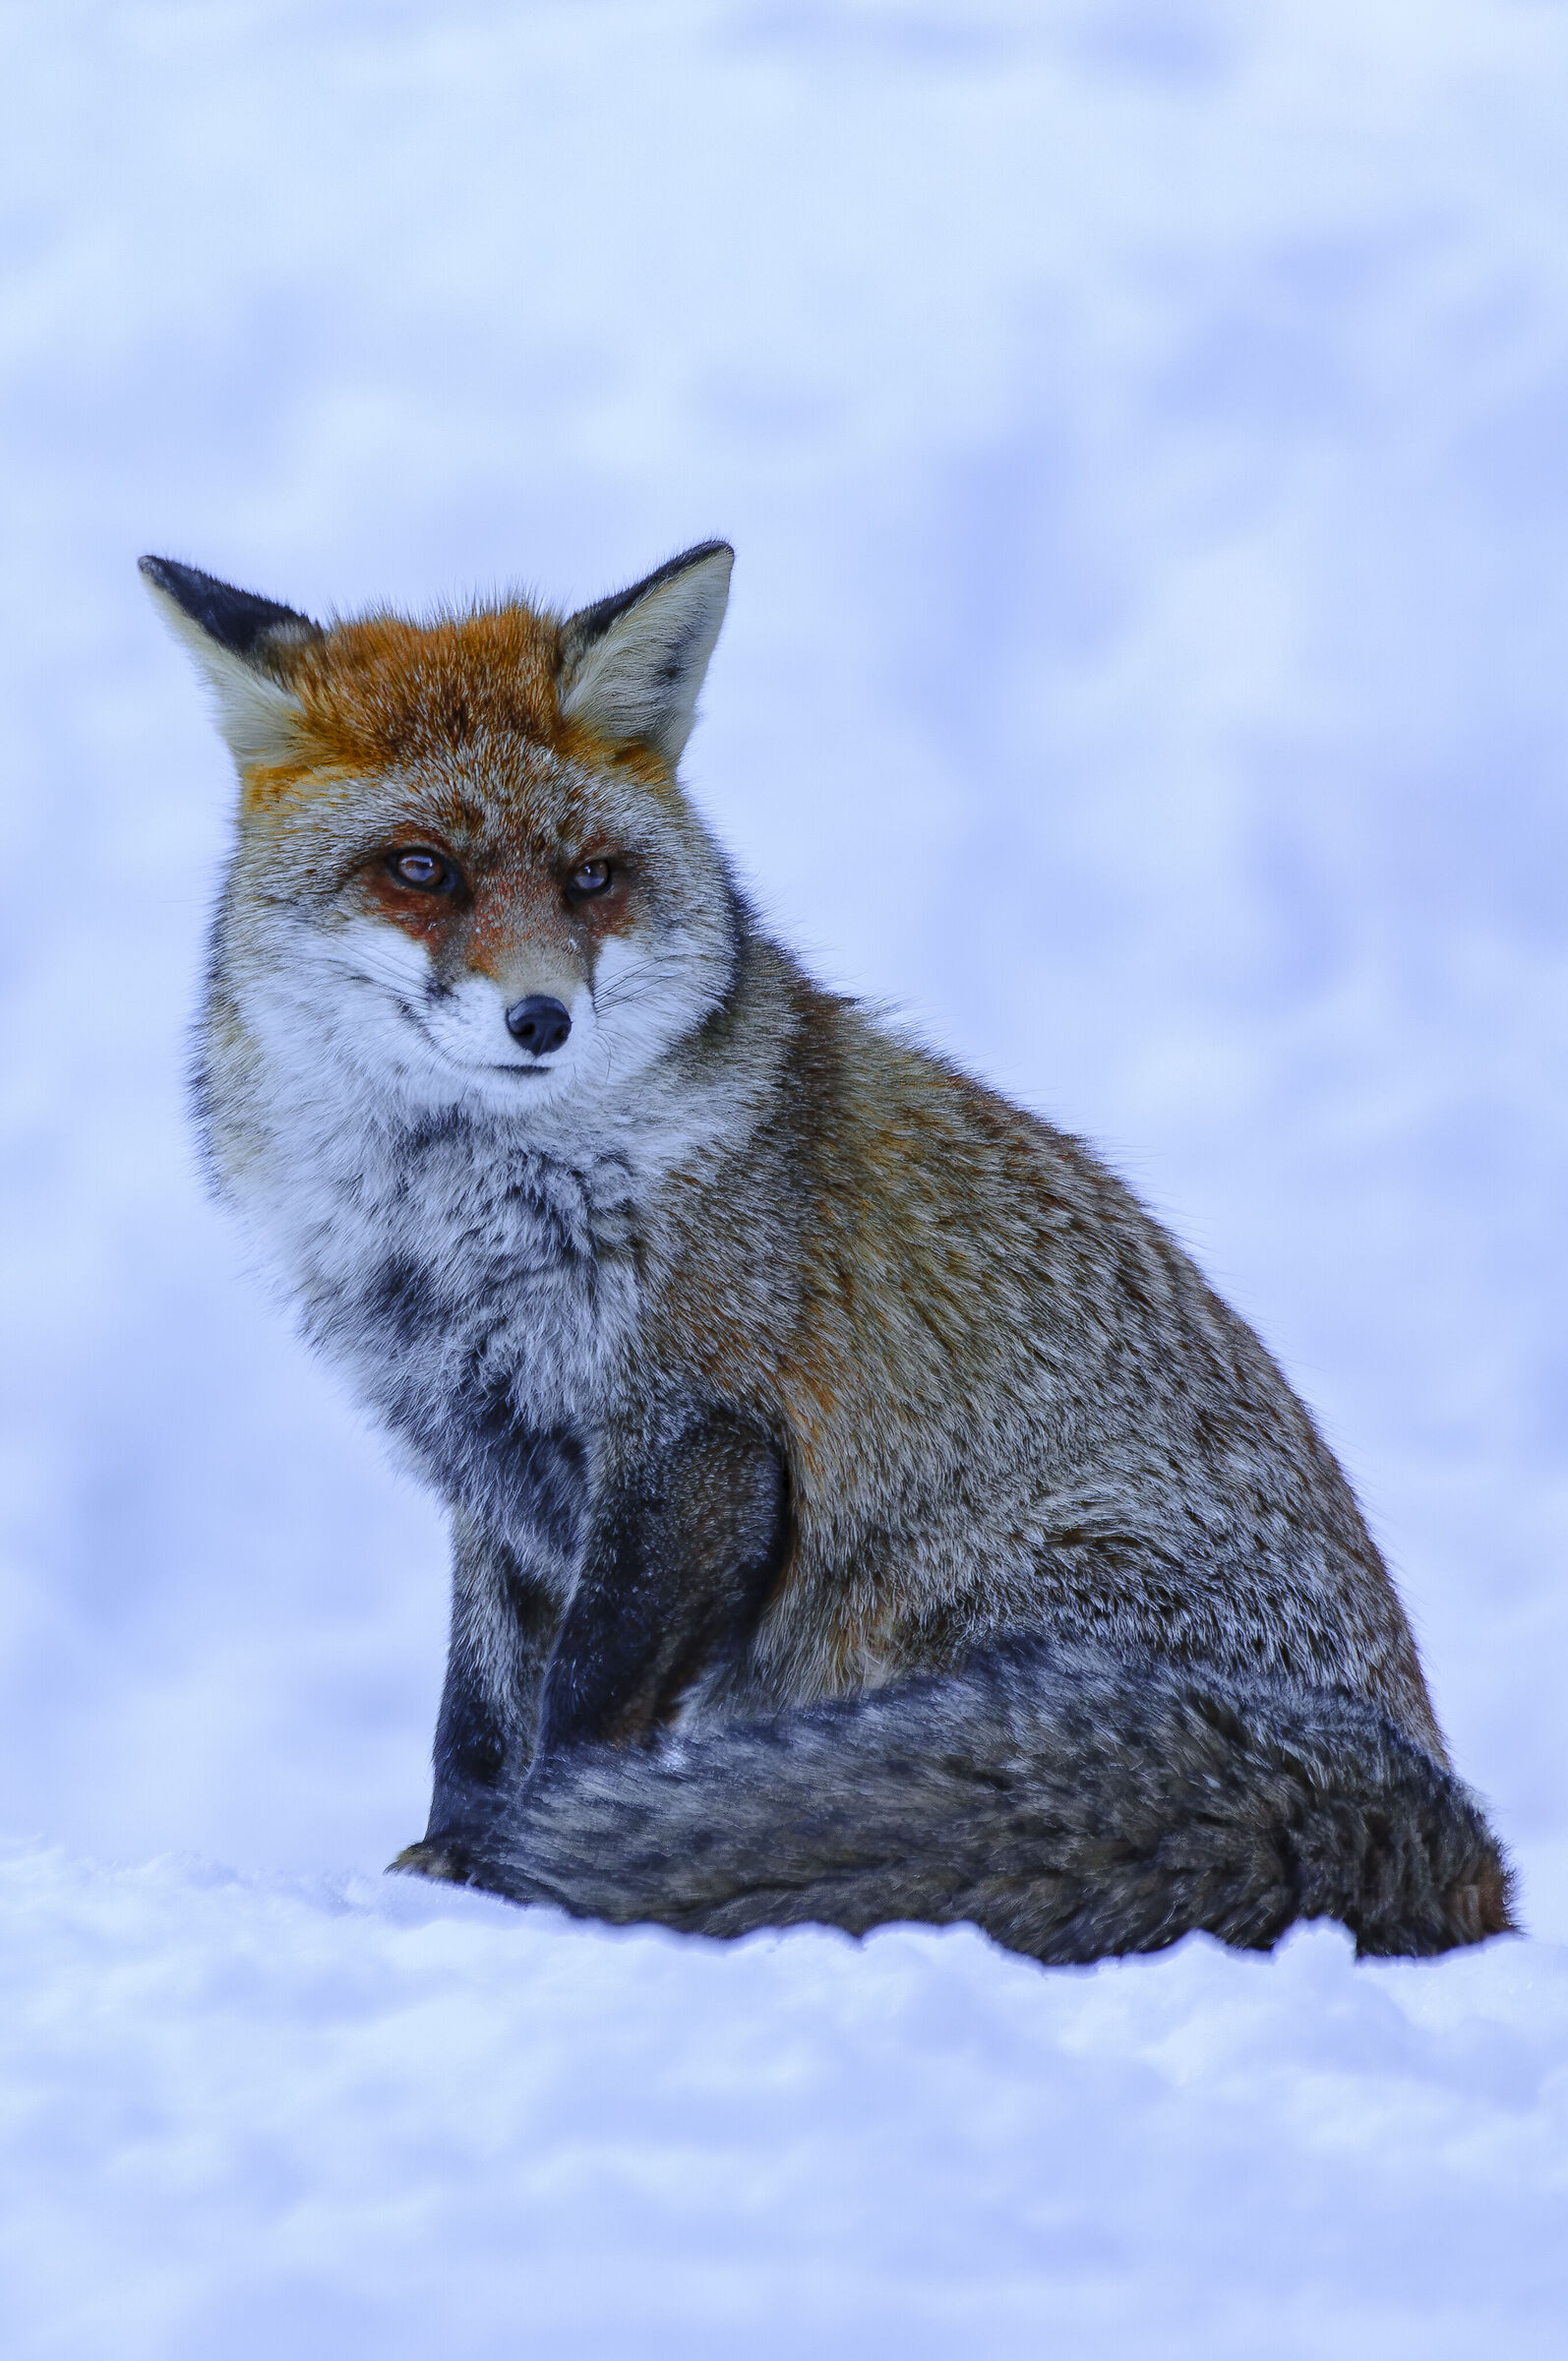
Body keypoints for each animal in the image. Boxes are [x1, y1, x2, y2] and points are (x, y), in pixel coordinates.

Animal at [142, 540, 1513, 1963]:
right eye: (420, 871)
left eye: (592, 879)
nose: (541, 1019)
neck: (454, 1228)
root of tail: (1454, 1834)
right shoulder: (487, 1464)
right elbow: (475, 1712)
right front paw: (453, 1859)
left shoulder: (699, 1436)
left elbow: (577, 1712)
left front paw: (538, 1871)